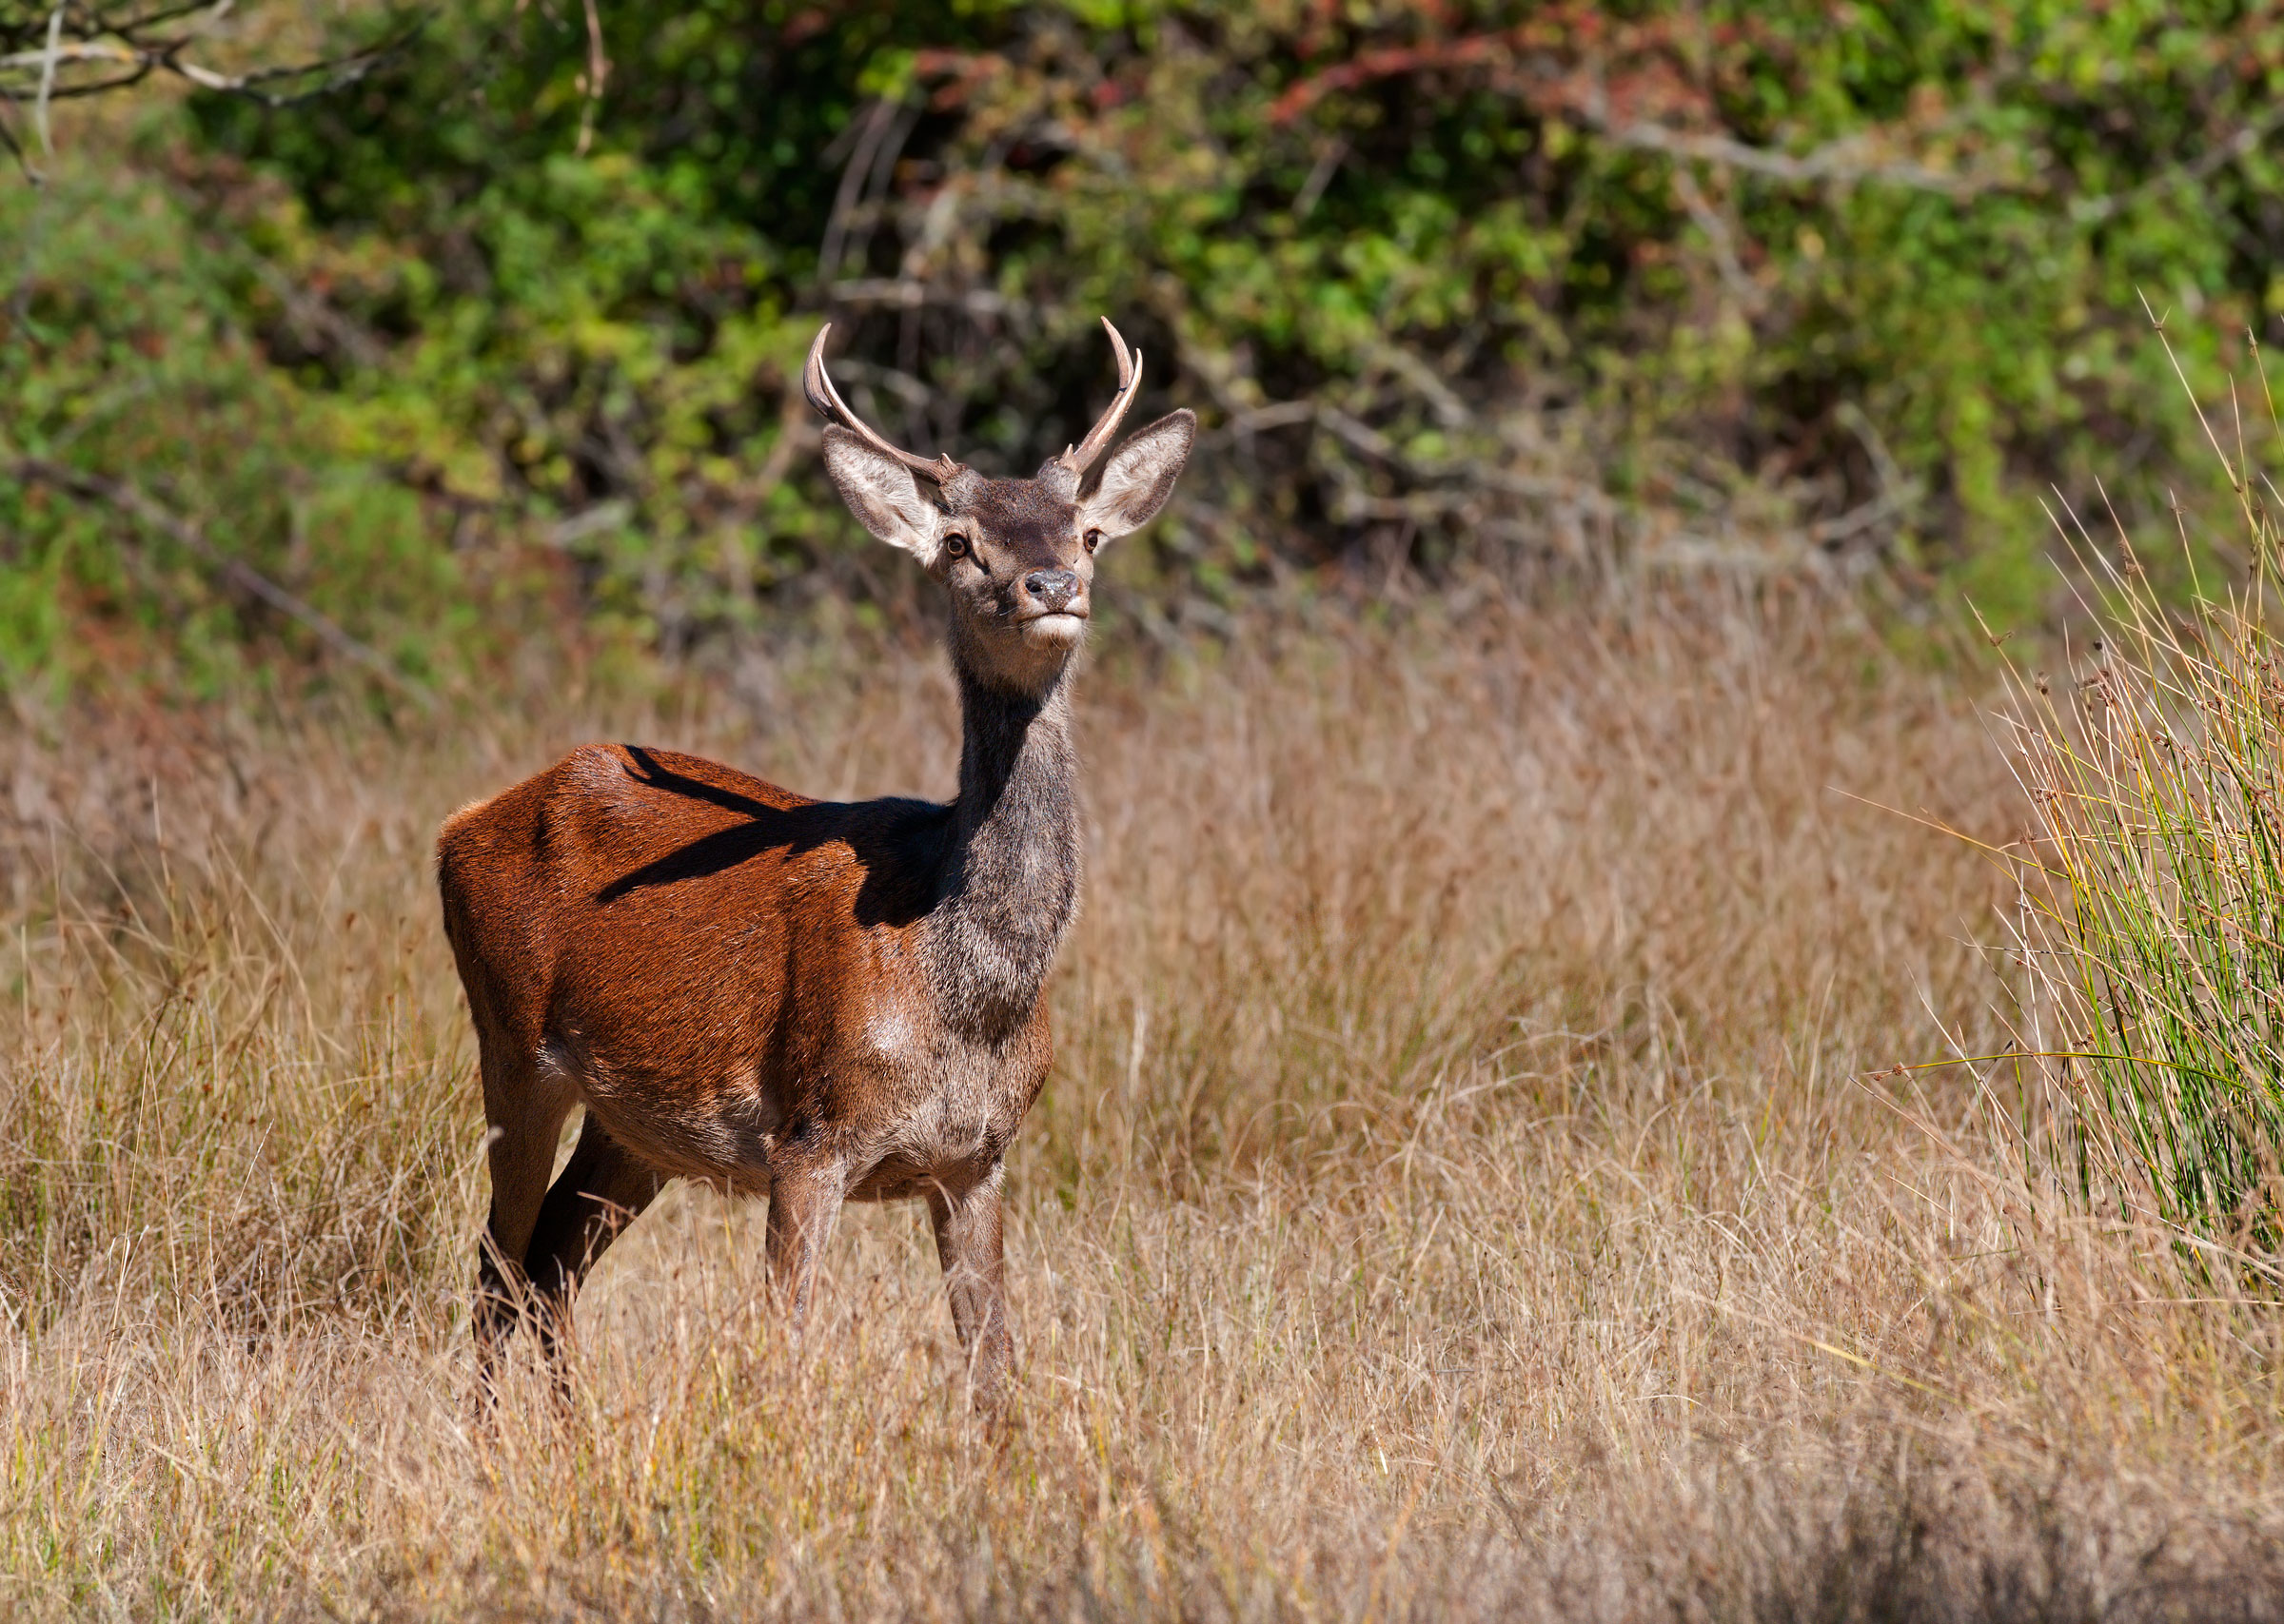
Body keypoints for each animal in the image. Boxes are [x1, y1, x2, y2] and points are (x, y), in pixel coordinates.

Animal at [436, 318, 1194, 1407]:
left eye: (1086, 532)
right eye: (958, 542)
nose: (1050, 587)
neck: (963, 988)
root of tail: (459, 824)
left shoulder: (982, 1157)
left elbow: (994, 1368)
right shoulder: (811, 1136)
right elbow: (780, 1350)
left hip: (631, 1129)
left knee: (548, 1266)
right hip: (510, 1042)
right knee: (496, 1266)